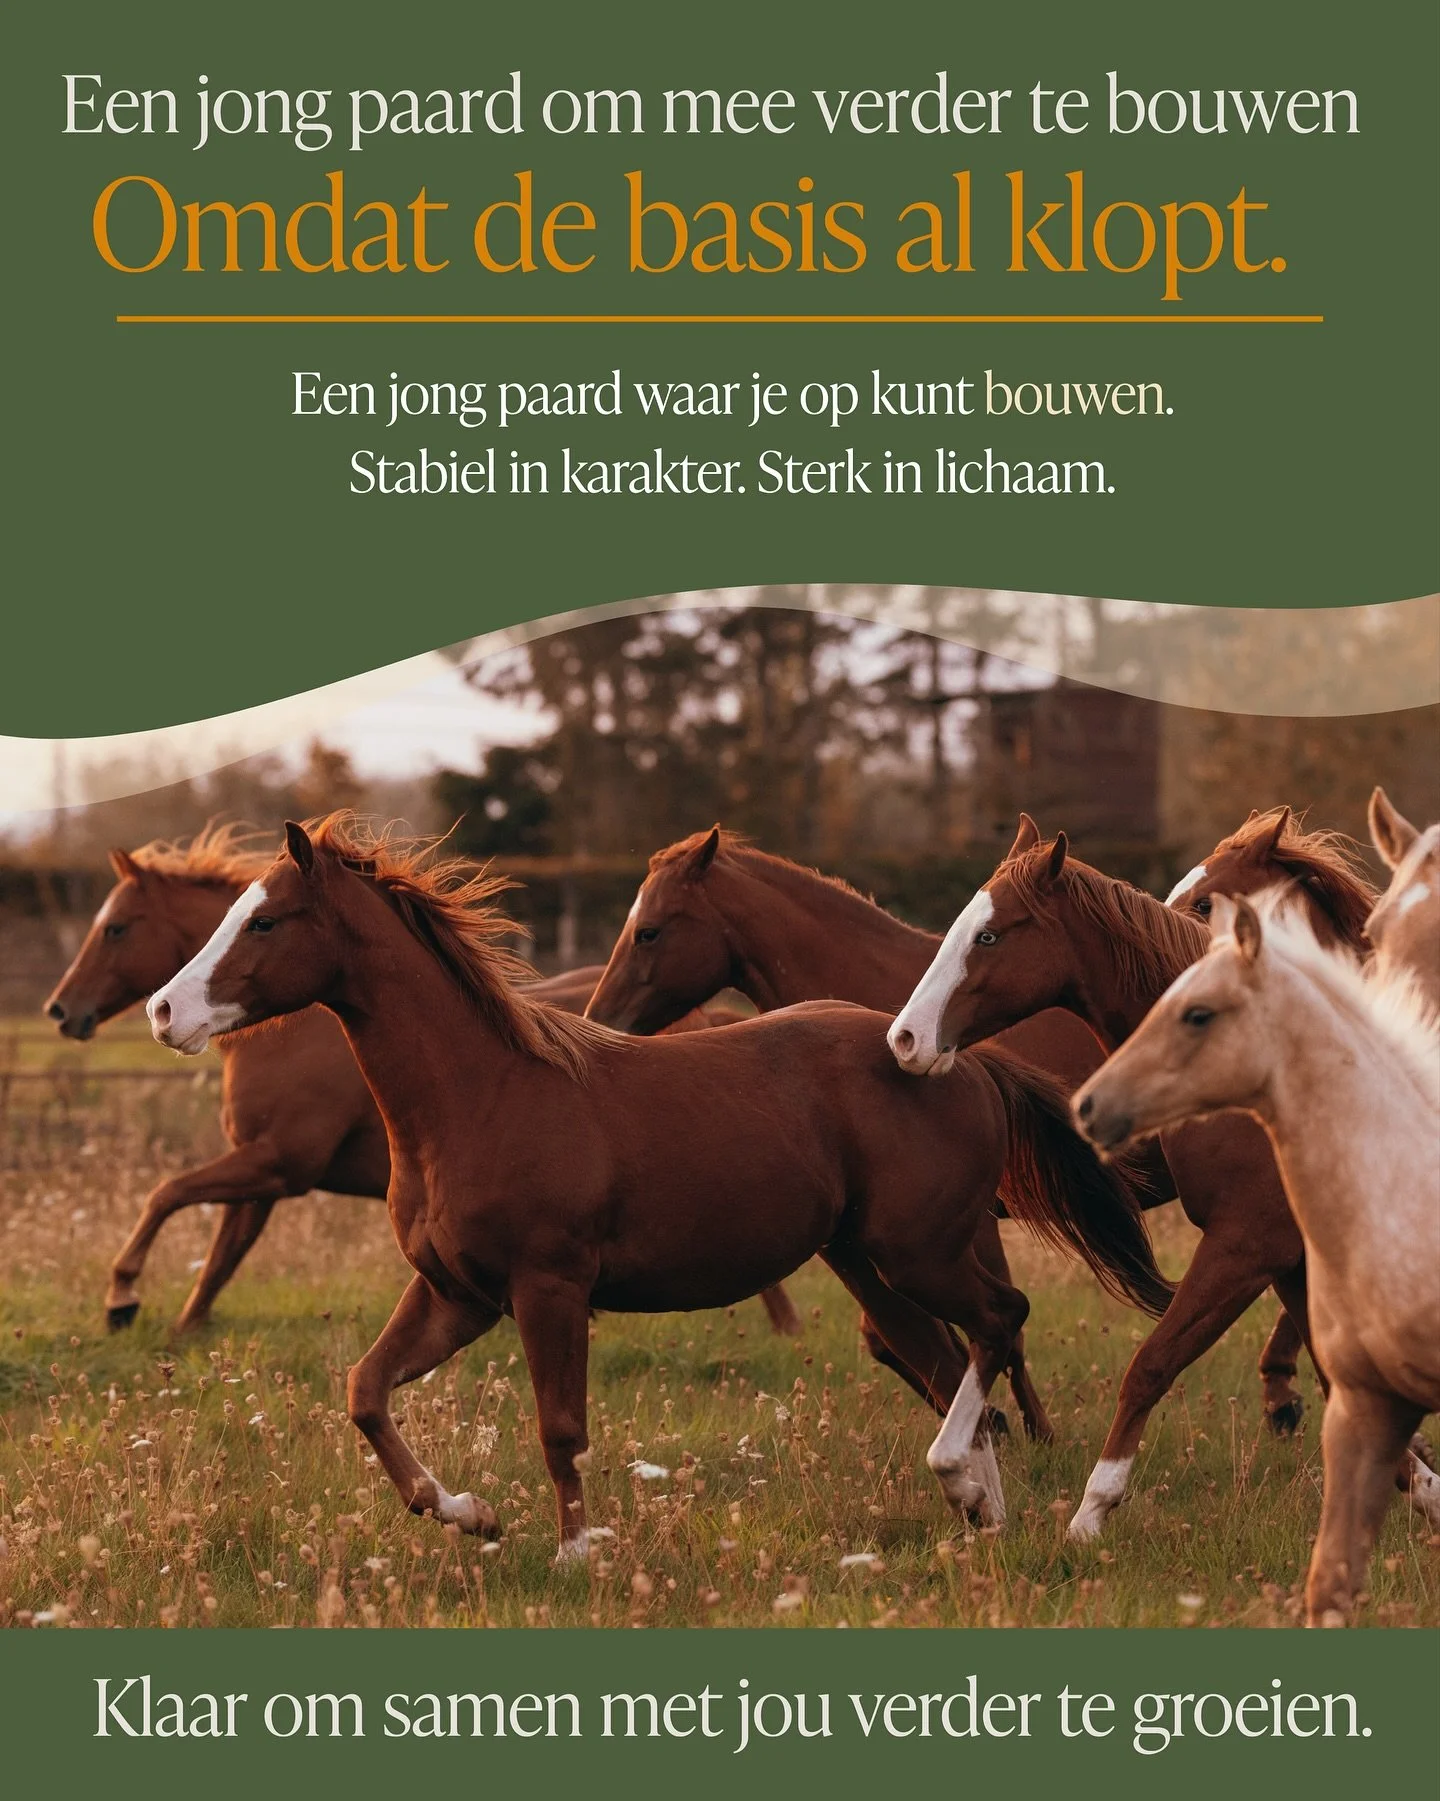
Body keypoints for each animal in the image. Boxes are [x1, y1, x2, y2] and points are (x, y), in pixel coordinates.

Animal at [43, 823, 800, 1338]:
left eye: (115, 928)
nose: (163, 1011)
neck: (301, 1033)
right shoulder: (263, 1172)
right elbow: (220, 1256)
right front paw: (182, 1327)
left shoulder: (278, 1163)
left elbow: (166, 1195)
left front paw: (122, 1298)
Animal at [144, 814, 1170, 1555]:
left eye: (263, 920)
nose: (163, 1010)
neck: (481, 1094)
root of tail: (954, 1056)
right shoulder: (455, 1293)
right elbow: (366, 1389)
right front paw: (470, 1512)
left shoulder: (549, 1287)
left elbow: (560, 1427)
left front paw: (577, 1553)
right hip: (872, 1260)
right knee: (949, 1355)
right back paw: (983, 1511)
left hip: (922, 1248)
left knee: (999, 1322)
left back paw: (963, 1477)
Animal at [887, 815, 1440, 1540]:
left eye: (989, 934)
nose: (906, 1038)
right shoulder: (1289, 1261)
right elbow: (1338, 1385)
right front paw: (1426, 1491)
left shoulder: (1244, 1246)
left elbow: (1150, 1366)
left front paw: (1090, 1514)